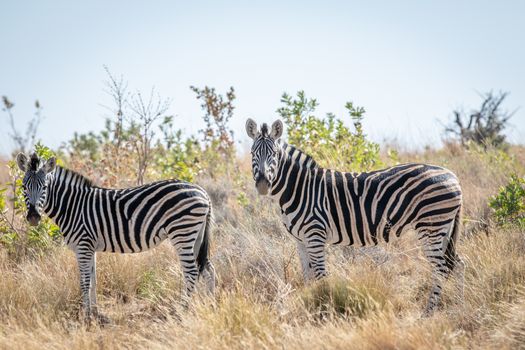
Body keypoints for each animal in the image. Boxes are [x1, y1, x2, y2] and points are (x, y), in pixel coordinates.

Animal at [15, 152, 215, 322]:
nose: (33, 217)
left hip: (182, 232)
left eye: (44, 187)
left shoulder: (83, 246)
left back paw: (182, 311)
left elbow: (85, 282)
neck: (73, 206)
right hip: (195, 235)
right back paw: (210, 304)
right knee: (208, 268)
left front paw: (86, 317)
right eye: (24, 187)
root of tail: (202, 191)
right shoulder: (90, 248)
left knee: (191, 271)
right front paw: (96, 314)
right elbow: (93, 280)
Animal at [245, 119, 462, 316]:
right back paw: (461, 304)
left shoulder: (315, 236)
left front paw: (326, 309)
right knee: (457, 263)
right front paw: (311, 307)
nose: (263, 184)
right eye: (252, 153)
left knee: (441, 268)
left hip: (431, 226)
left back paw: (429, 311)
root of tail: (453, 176)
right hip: (443, 229)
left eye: (274, 154)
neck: (300, 189)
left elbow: (321, 275)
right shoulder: (300, 241)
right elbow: (307, 277)